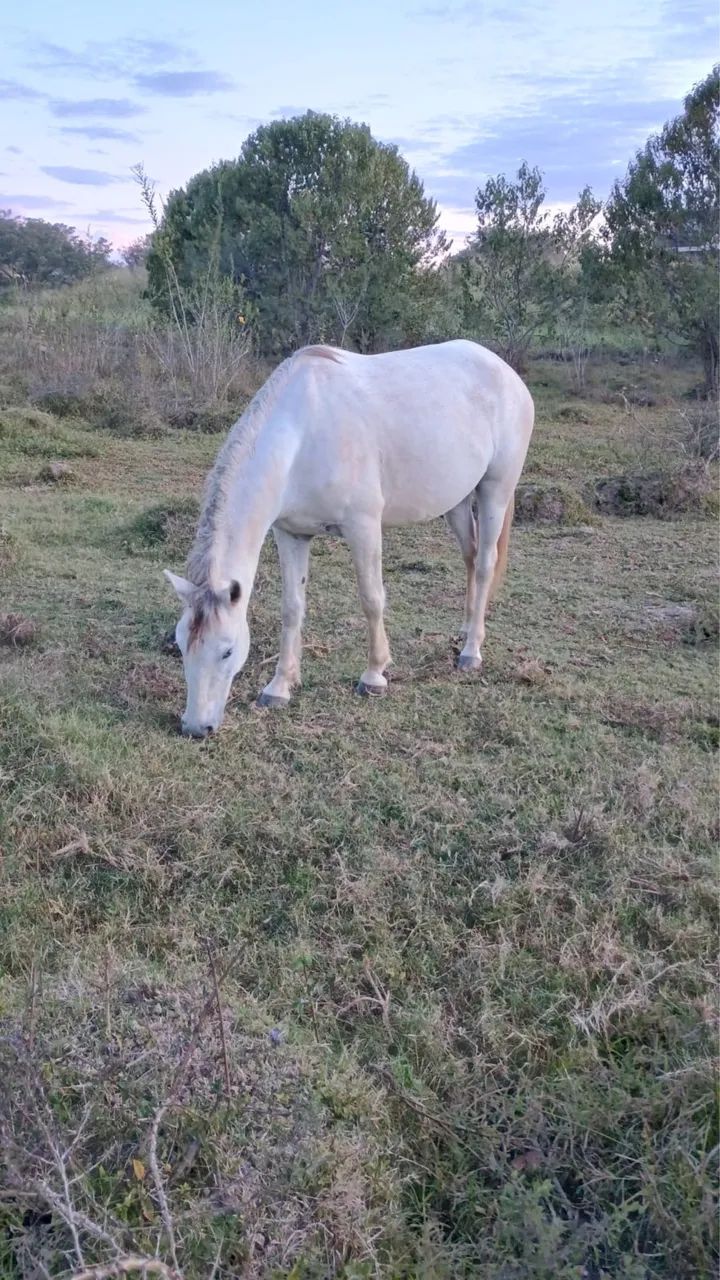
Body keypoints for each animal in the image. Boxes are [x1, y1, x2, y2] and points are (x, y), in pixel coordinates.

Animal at [164, 339, 534, 738]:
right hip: (458, 500)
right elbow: (292, 608)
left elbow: (372, 599)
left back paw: (471, 651)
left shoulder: (364, 527)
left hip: (495, 491)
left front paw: (374, 676)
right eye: (181, 645)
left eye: (228, 651)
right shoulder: (290, 534)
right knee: (469, 556)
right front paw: (279, 687)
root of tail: (504, 371)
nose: (195, 727)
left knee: (484, 564)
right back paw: (466, 628)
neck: (301, 438)